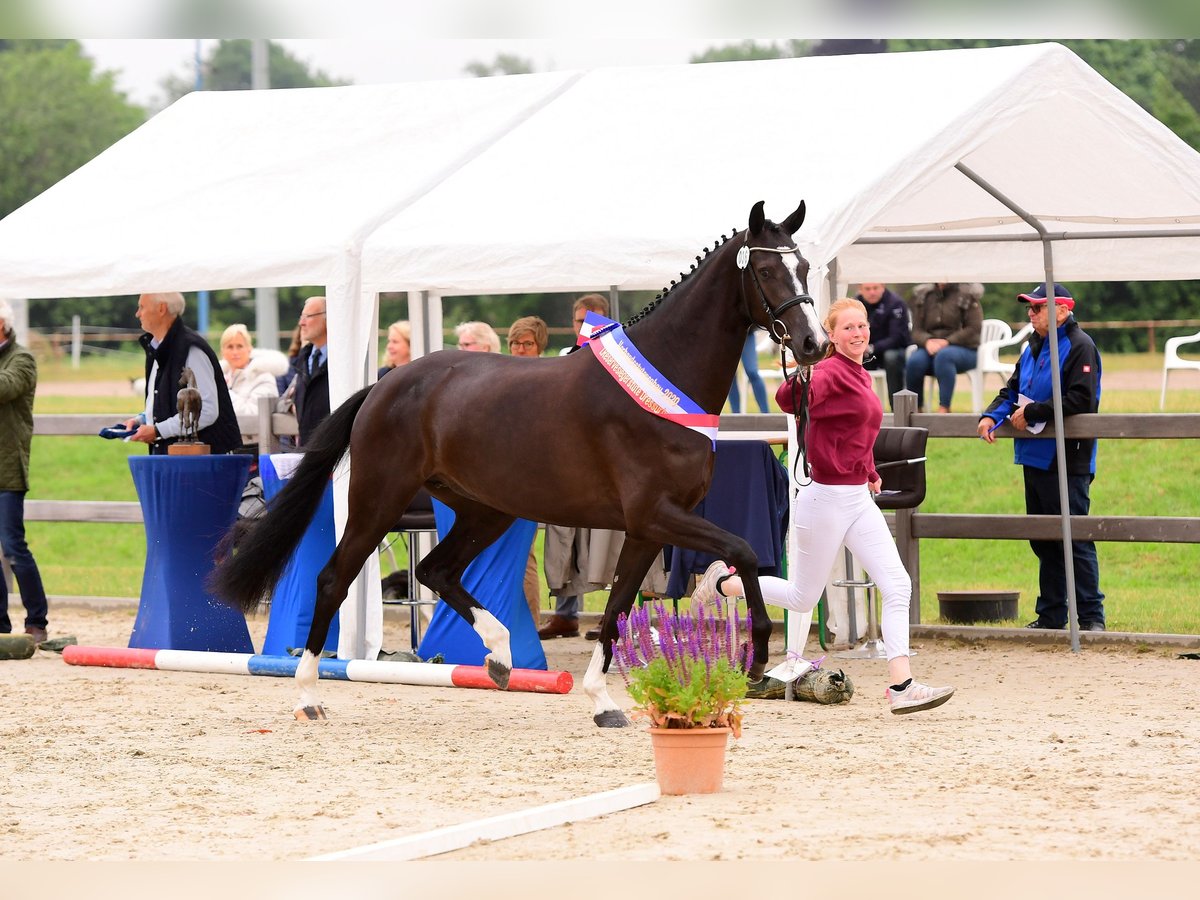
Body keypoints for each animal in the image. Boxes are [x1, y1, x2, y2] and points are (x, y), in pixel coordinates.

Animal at [211, 202, 825, 724]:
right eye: (766, 272)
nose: (814, 345)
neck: (664, 381)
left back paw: (501, 657)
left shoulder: (647, 528)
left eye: (806, 267)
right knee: (334, 578)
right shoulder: (657, 515)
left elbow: (617, 608)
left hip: (486, 511)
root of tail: (385, 386)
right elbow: (742, 552)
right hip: (378, 501)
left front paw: (602, 701)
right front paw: (757, 657)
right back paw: (308, 695)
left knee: (436, 570)